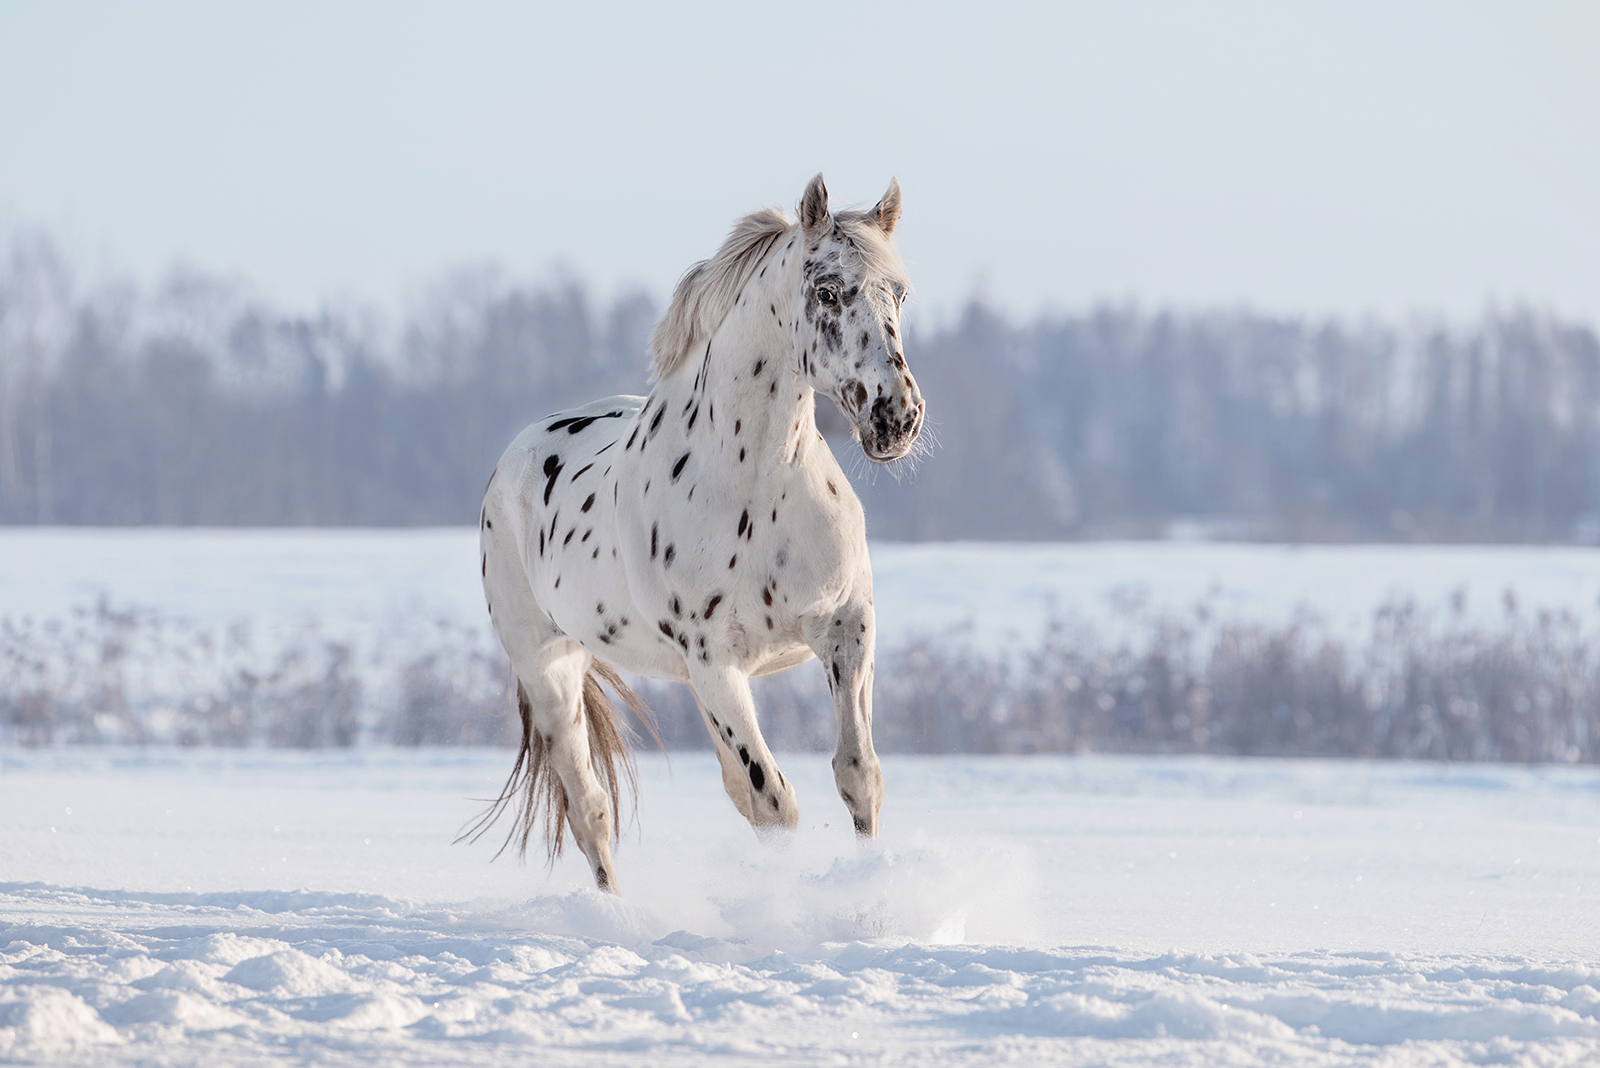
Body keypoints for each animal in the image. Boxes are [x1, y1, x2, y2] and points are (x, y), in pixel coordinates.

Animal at [470, 175, 928, 895]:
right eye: (827, 291)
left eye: (899, 293)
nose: (896, 417)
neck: (757, 489)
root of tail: (514, 456)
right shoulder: (716, 660)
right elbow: (775, 802)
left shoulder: (847, 627)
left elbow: (858, 775)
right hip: (551, 668)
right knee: (590, 810)